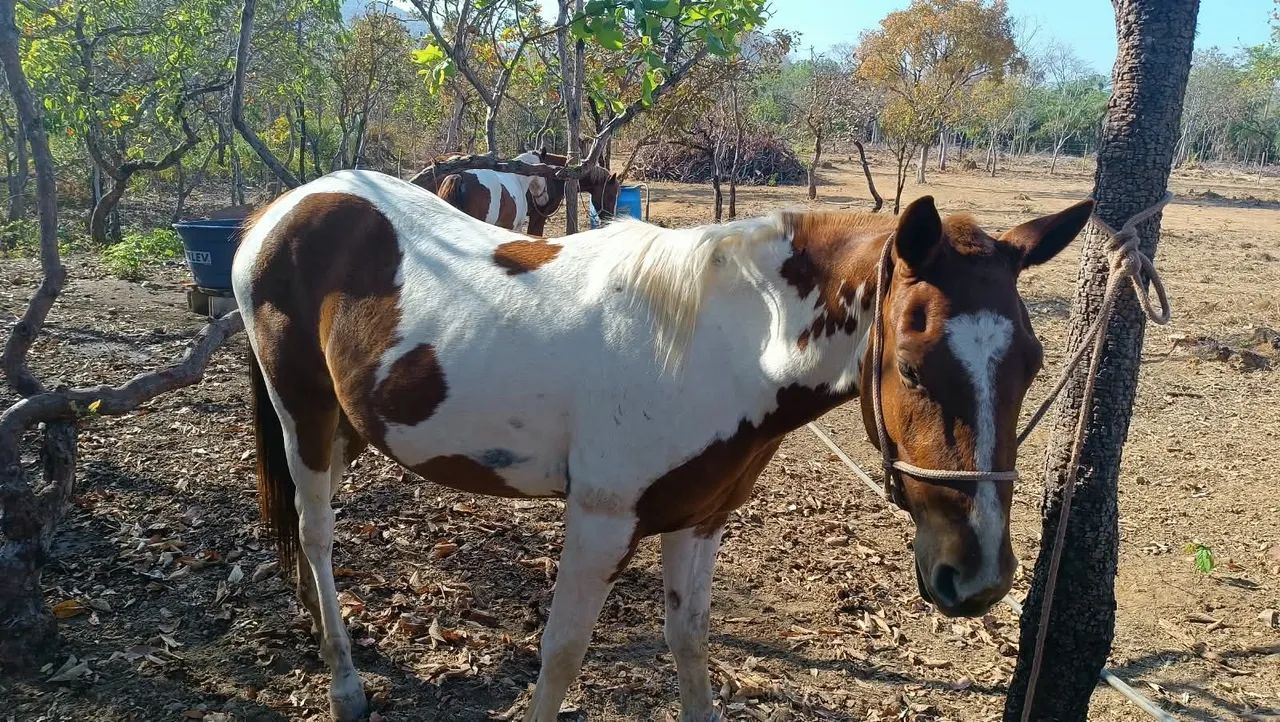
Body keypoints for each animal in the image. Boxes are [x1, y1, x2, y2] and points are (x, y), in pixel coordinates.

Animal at [231, 168, 1093, 721]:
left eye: (1033, 362)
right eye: (910, 366)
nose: (976, 578)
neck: (716, 345)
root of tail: (281, 211)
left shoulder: (700, 521)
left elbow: (689, 642)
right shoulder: (600, 523)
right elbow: (563, 654)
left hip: (350, 427)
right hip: (304, 416)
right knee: (314, 529)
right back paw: (344, 685)